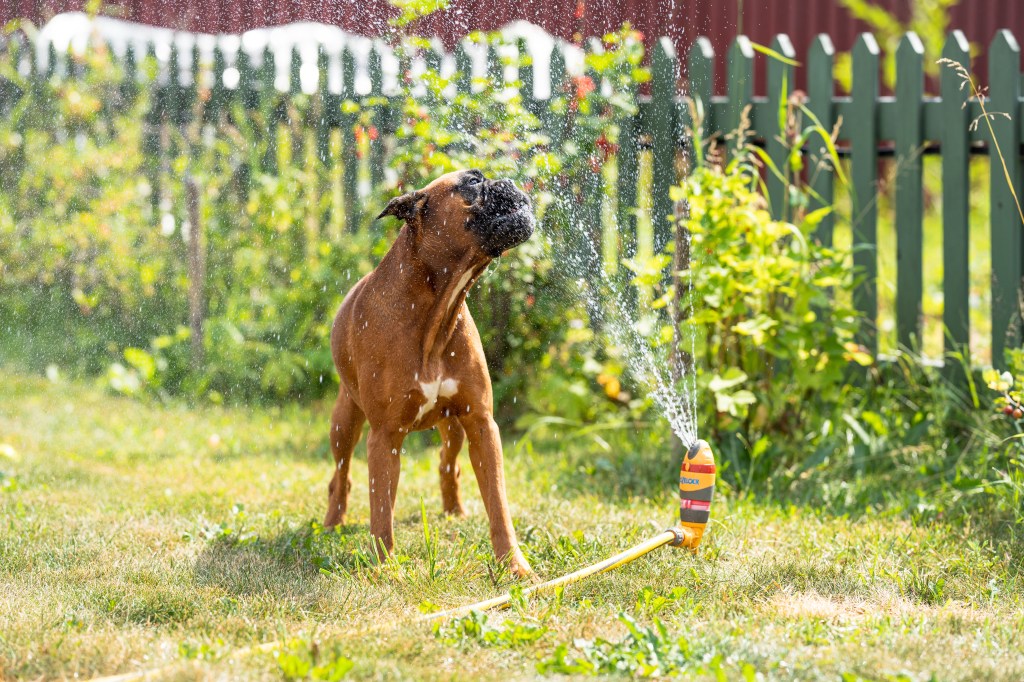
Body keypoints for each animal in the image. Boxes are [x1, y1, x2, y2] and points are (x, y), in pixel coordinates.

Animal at [325, 166, 536, 577]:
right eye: (473, 182)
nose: (510, 181)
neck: (436, 311)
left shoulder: (482, 425)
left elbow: (498, 504)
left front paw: (514, 565)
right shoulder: (384, 438)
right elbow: (380, 511)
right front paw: (384, 568)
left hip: (454, 429)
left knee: (447, 465)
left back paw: (454, 511)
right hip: (346, 424)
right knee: (341, 477)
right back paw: (331, 523)